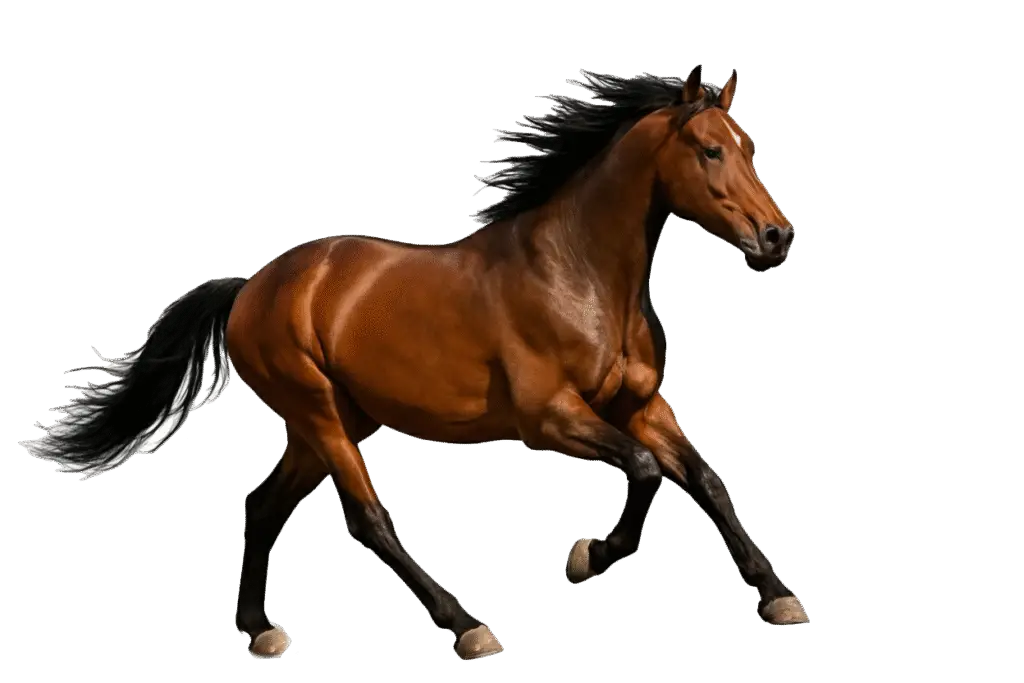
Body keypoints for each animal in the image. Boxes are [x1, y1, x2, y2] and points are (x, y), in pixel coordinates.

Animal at [19, 64, 807, 662]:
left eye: (748, 144)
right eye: (709, 149)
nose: (777, 236)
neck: (578, 275)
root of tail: (250, 286)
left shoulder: (639, 405)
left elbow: (704, 478)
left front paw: (779, 596)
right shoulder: (550, 418)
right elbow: (647, 472)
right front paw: (587, 555)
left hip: (332, 422)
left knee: (263, 505)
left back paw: (260, 630)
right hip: (318, 412)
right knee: (366, 518)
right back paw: (466, 625)